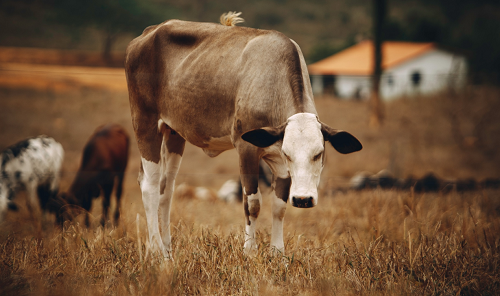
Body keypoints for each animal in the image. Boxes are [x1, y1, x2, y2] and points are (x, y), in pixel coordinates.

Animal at [123, 12, 362, 256]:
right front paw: (249, 250)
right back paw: (156, 250)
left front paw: (278, 253)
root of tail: (150, 31)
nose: (303, 199)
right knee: (150, 187)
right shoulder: (247, 149)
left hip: (173, 133)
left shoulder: (278, 163)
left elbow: (279, 206)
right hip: (145, 124)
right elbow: (253, 203)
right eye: (288, 154)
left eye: (319, 153)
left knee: (166, 190)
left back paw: (167, 250)